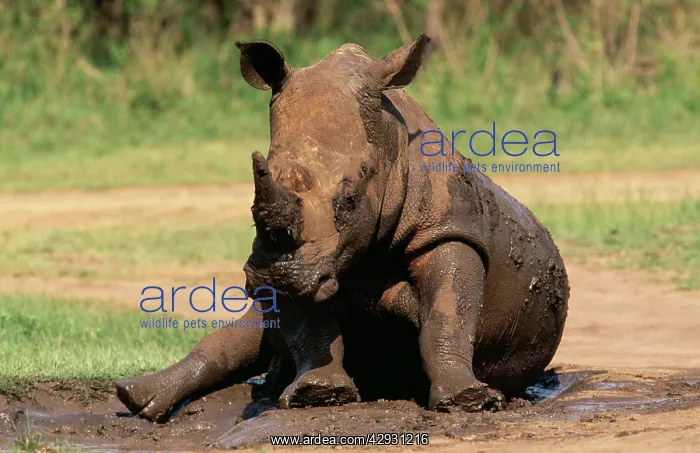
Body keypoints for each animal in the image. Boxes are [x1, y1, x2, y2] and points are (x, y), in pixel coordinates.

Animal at [115, 34, 569, 422]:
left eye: (351, 200)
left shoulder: (446, 229)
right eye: (254, 197)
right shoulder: (303, 260)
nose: (276, 276)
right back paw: (137, 397)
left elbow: (447, 314)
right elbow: (309, 323)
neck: (391, 147)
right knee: (250, 330)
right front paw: (318, 396)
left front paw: (470, 402)